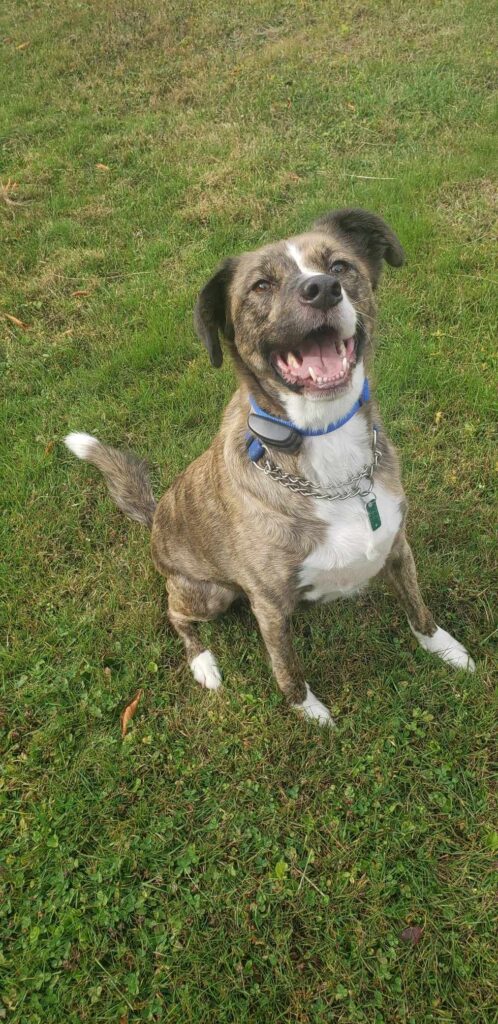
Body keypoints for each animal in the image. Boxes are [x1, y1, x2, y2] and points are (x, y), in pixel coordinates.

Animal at [66, 207, 475, 724]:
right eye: (260, 286)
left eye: (339, 266)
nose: (322, 289)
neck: (323, 441)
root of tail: (156, 517)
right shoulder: (269, 605)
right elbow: (287, 668)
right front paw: (311, 714)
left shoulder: (397, 547)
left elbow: (418, 608)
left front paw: (447, 650)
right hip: (209, 593)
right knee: (174, 613)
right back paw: (203, 663)